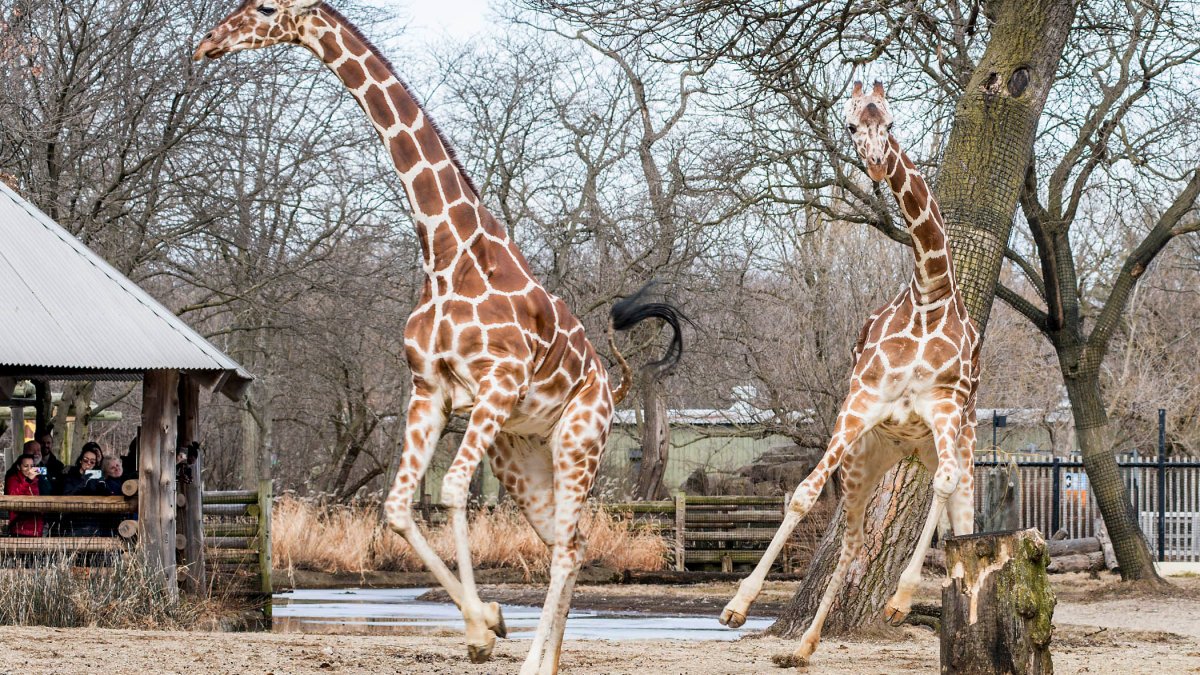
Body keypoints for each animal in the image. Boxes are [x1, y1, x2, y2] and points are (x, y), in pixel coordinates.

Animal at [193, 2, 691, 667]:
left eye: (267, 9)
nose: (207, 44)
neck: (447, 253)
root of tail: (611, 386)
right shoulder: (428, 389)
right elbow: (399, 507)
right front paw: (490, 619)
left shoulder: (498, 382)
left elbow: (451, 490)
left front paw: (483, 628)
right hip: (521, 457)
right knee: (573, 539)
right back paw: (545, 660)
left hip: (579, 440)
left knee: (566, 543)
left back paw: (532, 663)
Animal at [715, 78, 979, 662]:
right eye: (852, 124)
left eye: (893, 121)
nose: (878, 164)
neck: (929, 297)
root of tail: (904, 452)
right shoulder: (859, 403)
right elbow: (802, 493)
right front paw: (738, 604)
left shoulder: (945, 407)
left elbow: (944, 488)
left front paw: (901, 600)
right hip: (864, 463)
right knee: (854, 544)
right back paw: (803, 647)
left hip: (956, 443)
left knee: (960, 515)